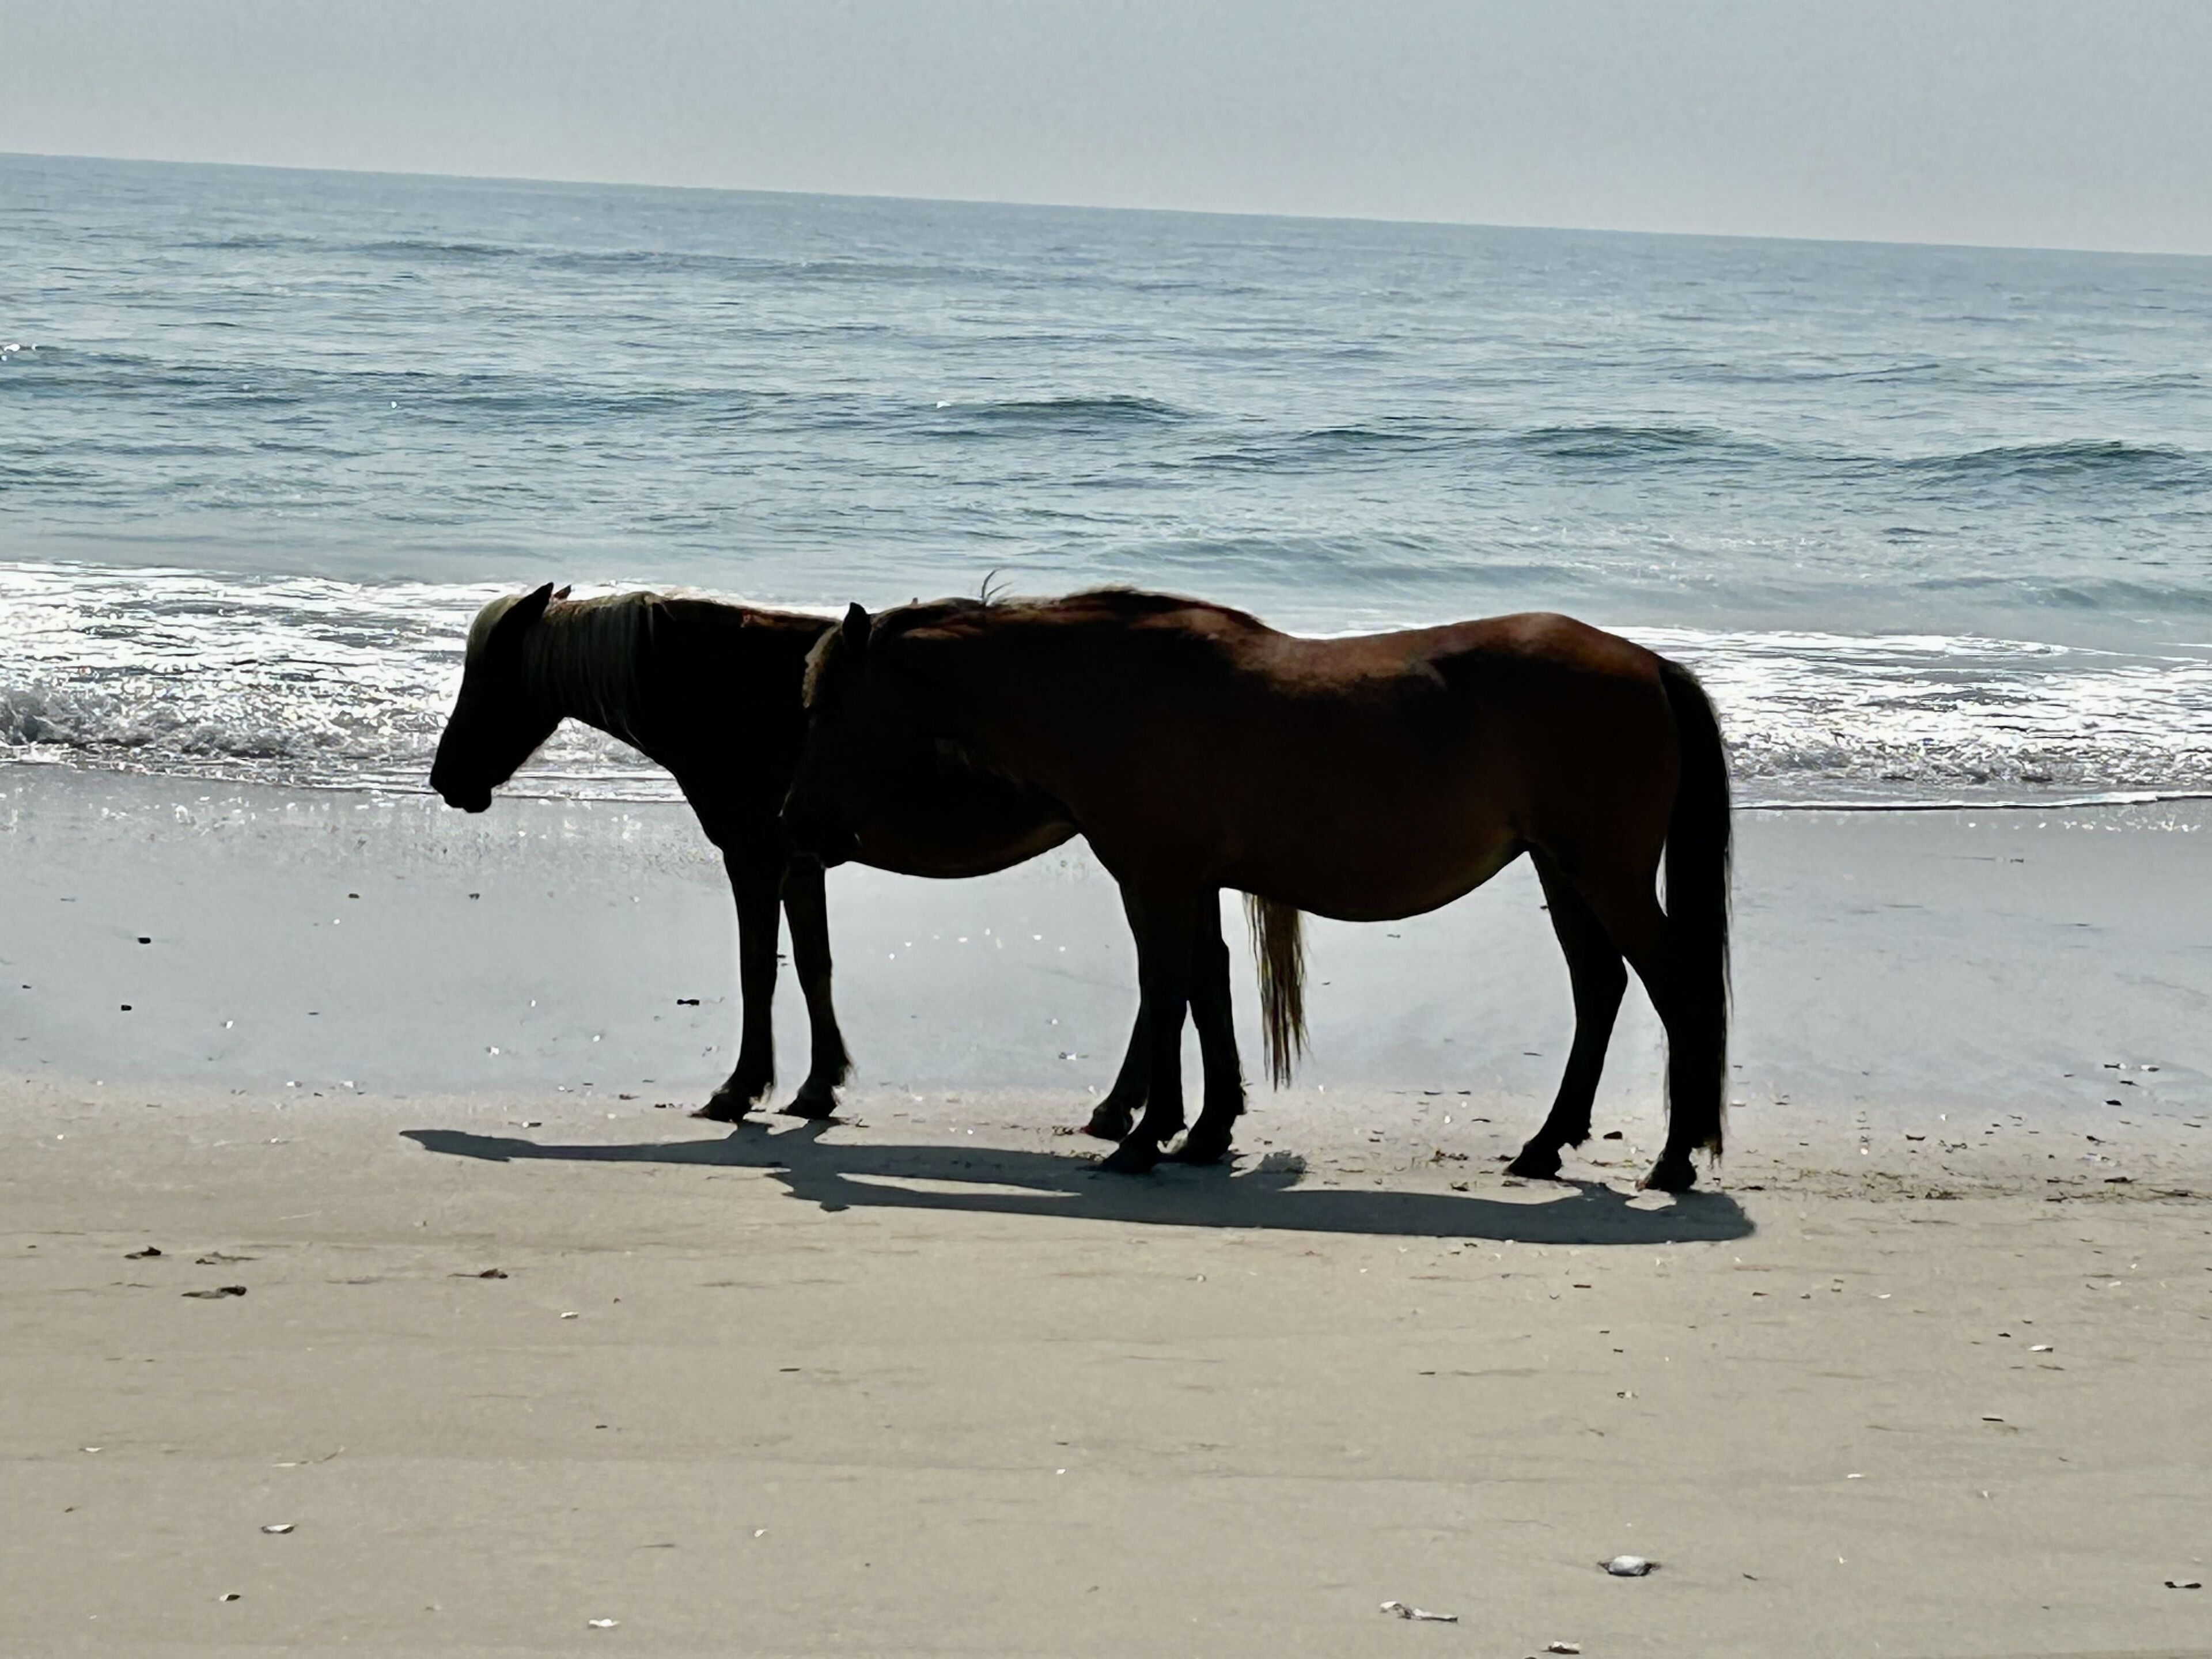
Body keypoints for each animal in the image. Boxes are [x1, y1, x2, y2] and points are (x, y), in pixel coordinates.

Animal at [426, 582, 1258, 1127]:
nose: (445, 778)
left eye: (491, 680)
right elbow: (812, 967)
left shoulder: (756, 858)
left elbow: (758, 969)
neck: (727, 688)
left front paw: (741, 1088)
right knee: (1195, 968)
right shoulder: (800, 864)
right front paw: (818, 1085)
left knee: (1170, 972)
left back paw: (1128, 1110)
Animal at [783, 589, 1732, 1190]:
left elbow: (1165, 992)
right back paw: (1546, 1147)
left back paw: (1673, 1160)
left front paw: (1144, 1137)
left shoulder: (1155, 880)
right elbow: (1207, 991)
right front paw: (1204, 1132)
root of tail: (1649, 666)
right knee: (1600, 988)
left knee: (1675, 989)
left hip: (1601, 873)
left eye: (825, 708)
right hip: (1561, 870)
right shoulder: (1193, 882)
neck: (1111, 691)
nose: (800, 823)